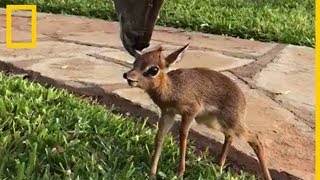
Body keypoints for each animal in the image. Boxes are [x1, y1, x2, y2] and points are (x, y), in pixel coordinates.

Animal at [123, 44, 272, 180]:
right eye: (135, 62)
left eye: (154, 69)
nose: (128, 76)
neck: (172, 89)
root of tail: (242, 97)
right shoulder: (168, 113)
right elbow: (160, 137)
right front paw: (152, 173)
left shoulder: (191, 111)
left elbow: (183, 135)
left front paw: (180, 173)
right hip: (215, 122)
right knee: (229, 137)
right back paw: (219, 167)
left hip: (232, 122)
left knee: (255, 139)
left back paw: (266, 176)